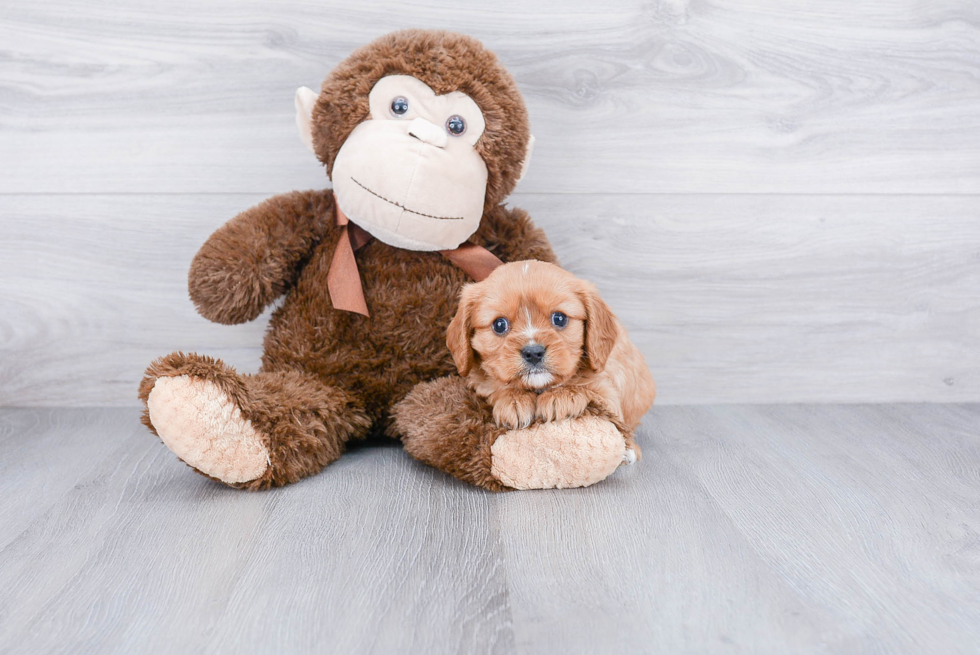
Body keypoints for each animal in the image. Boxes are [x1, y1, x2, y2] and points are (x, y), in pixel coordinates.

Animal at [448, 258, 656, 454]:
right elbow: (496, 386)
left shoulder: (610, 395)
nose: (533, 353)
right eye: (499, 325)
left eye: (559, 318)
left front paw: (561, 395)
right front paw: (513, 399)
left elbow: (588, 388)